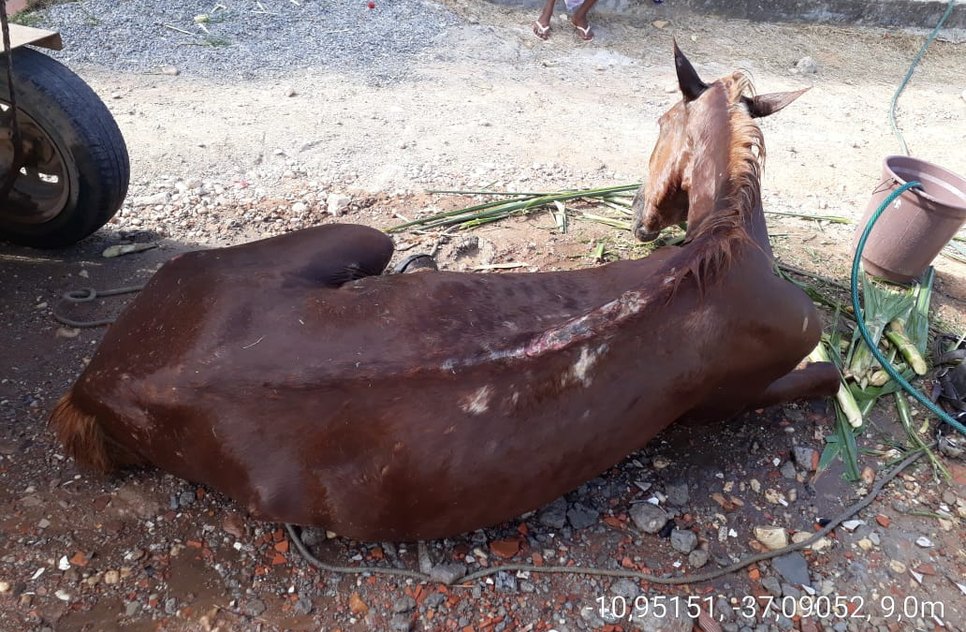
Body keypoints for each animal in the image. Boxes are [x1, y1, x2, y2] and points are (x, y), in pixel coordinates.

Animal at [51, 45, 841, 542]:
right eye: (660, 118)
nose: (644, 220)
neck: (724, 245)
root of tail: (100, 379)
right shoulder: (744, 389)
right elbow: (830, 375)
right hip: (346, 237)